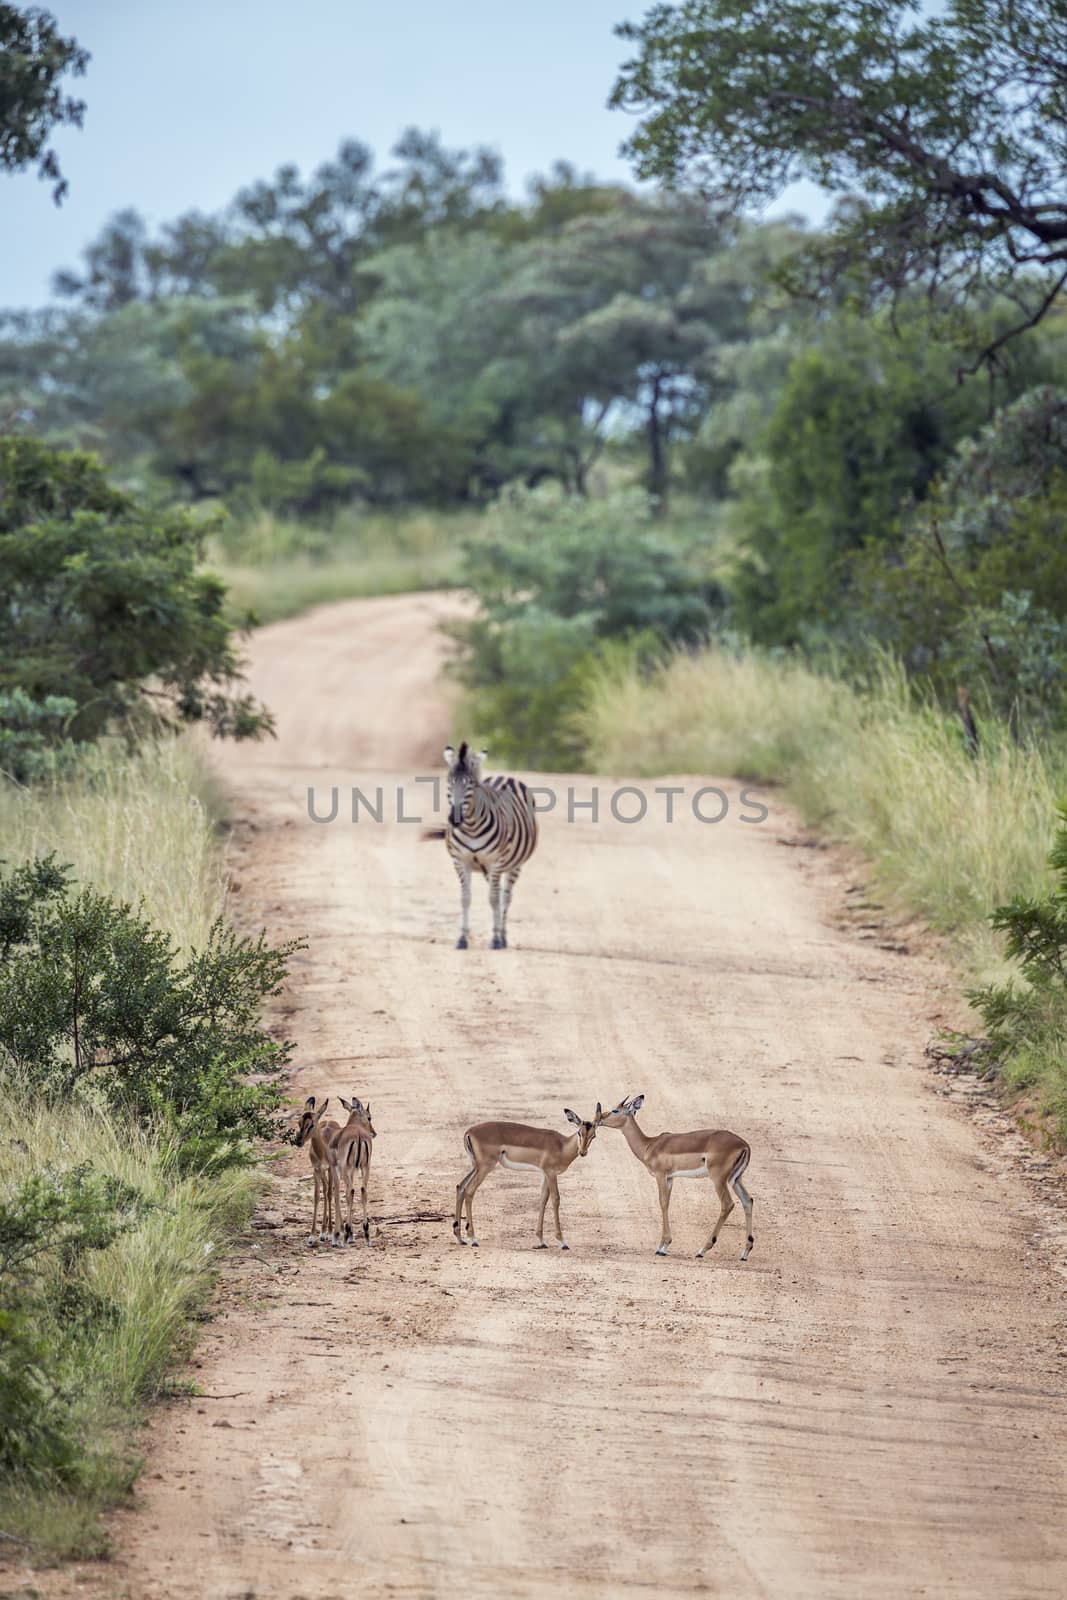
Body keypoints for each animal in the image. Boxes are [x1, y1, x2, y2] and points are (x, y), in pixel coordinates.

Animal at [425, 739, 537, 947]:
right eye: (449, 782)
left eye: (471, 784)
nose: (455, 819)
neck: (471, 827)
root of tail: (505, 776)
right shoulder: (461, 861)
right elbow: (465, 898)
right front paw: (462, 938)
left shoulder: (495, 862)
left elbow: (493, 899)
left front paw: (495, 939)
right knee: (500, 893)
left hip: (514, 865)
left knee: (505, 896)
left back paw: (502, 937)